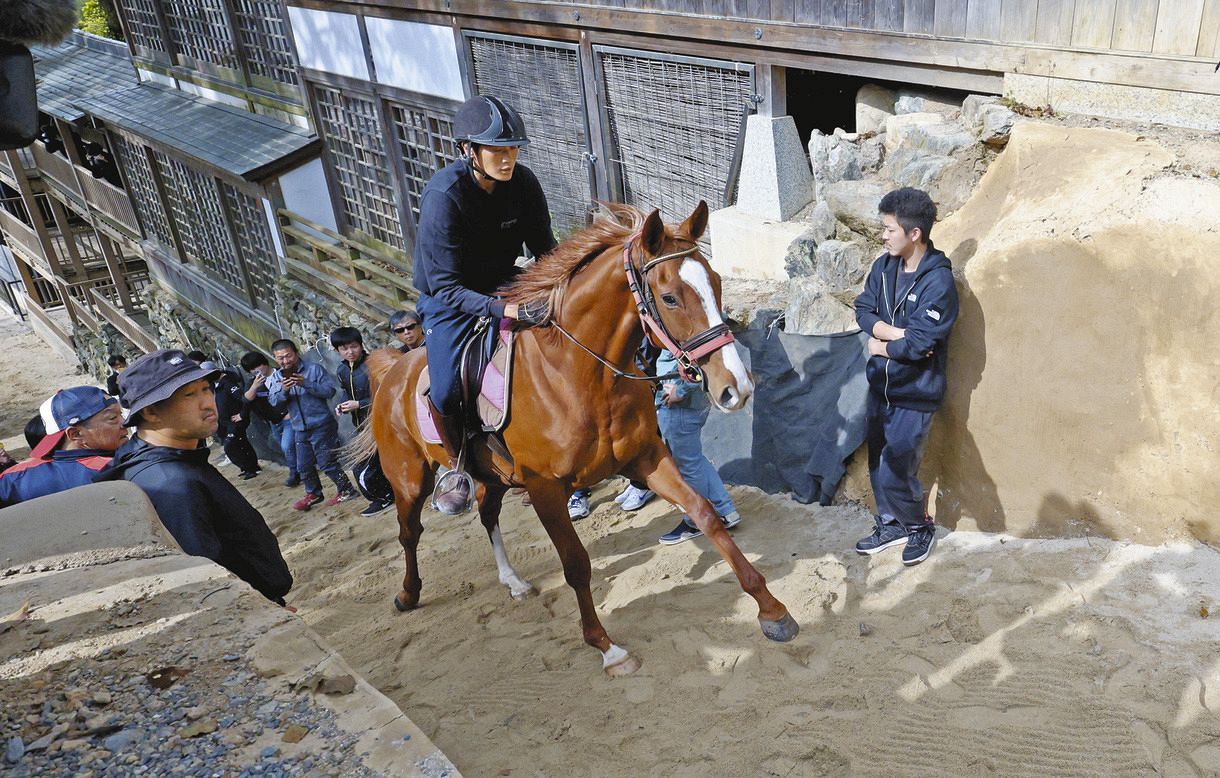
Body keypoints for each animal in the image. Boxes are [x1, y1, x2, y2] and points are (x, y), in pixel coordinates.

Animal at [357, 201, 799, 676]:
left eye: (716, 284)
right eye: (670, 298)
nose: (737, 387)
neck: (581, 374)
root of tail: (392, 370)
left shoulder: (647, 458)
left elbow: (705, 514)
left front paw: (772, 610)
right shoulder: (545, 488)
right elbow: (576, 564)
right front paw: (606, 647)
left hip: (493, 476)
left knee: (487, 514)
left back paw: (513, 581)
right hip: (408, 478)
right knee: (409, 531)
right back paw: (408, 593)